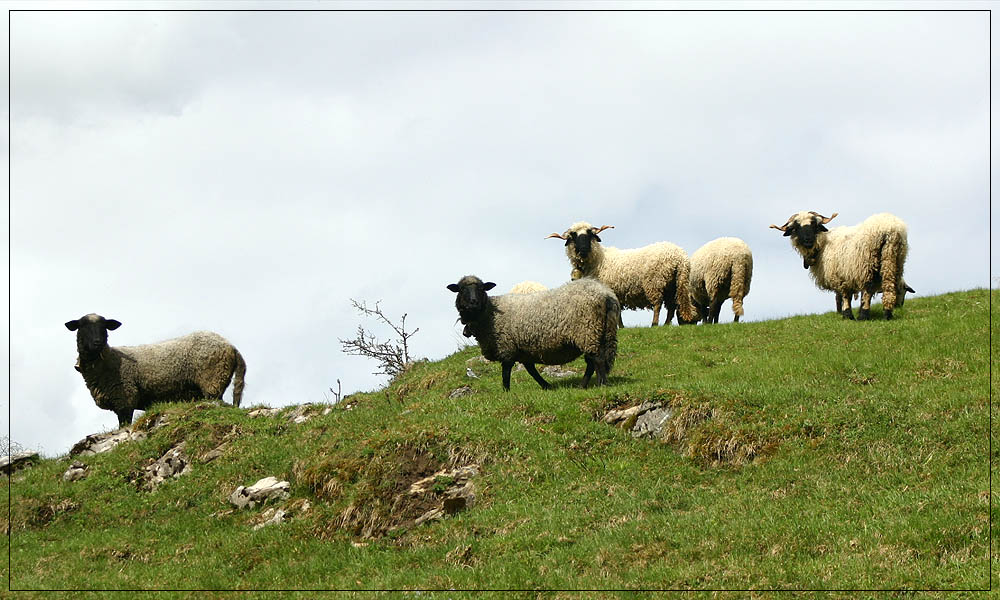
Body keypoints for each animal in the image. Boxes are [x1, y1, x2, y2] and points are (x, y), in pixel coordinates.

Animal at [67, 314, 246, 426]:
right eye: (82, 326)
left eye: (104, 327)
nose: (97, 342)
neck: (109, 360)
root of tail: (231, 347)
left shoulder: (126, 398)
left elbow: (123, 426)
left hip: (212, 380)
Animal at [446, 276, 616, 392]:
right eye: (461, 289)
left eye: (482, 289)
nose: (473, 302)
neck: (490, 313)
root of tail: (606, 294)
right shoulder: (523, 350)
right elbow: (532, 371)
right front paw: (546, 386)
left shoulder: (506, 346)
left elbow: (506, 372)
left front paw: (506, 392)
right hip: (603, 331)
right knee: (593, 361)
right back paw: (585, 385)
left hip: (587, 331)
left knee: (597, 359)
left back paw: (601, 384)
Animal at [548, 221, 696, 326]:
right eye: (574, 235)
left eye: (590, 234)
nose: (583, 249)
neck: (599, 259)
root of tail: (679, 256)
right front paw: (621, 327)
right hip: (673, 284)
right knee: (671, 307)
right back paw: (666, 324)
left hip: (655, 282)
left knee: (658, 304)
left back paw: (654, 324)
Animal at [768, 213, 912, 322]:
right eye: (797, 227)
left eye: (814, 224)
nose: (808, 240)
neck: (822, 244)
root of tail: (890, 229)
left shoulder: (840, 275)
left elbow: (844, 296)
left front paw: (847, 315)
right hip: (893, 259)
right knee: (890, 286)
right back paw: (888, 314)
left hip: (867, 263)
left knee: (867, 290)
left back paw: (863, 316)